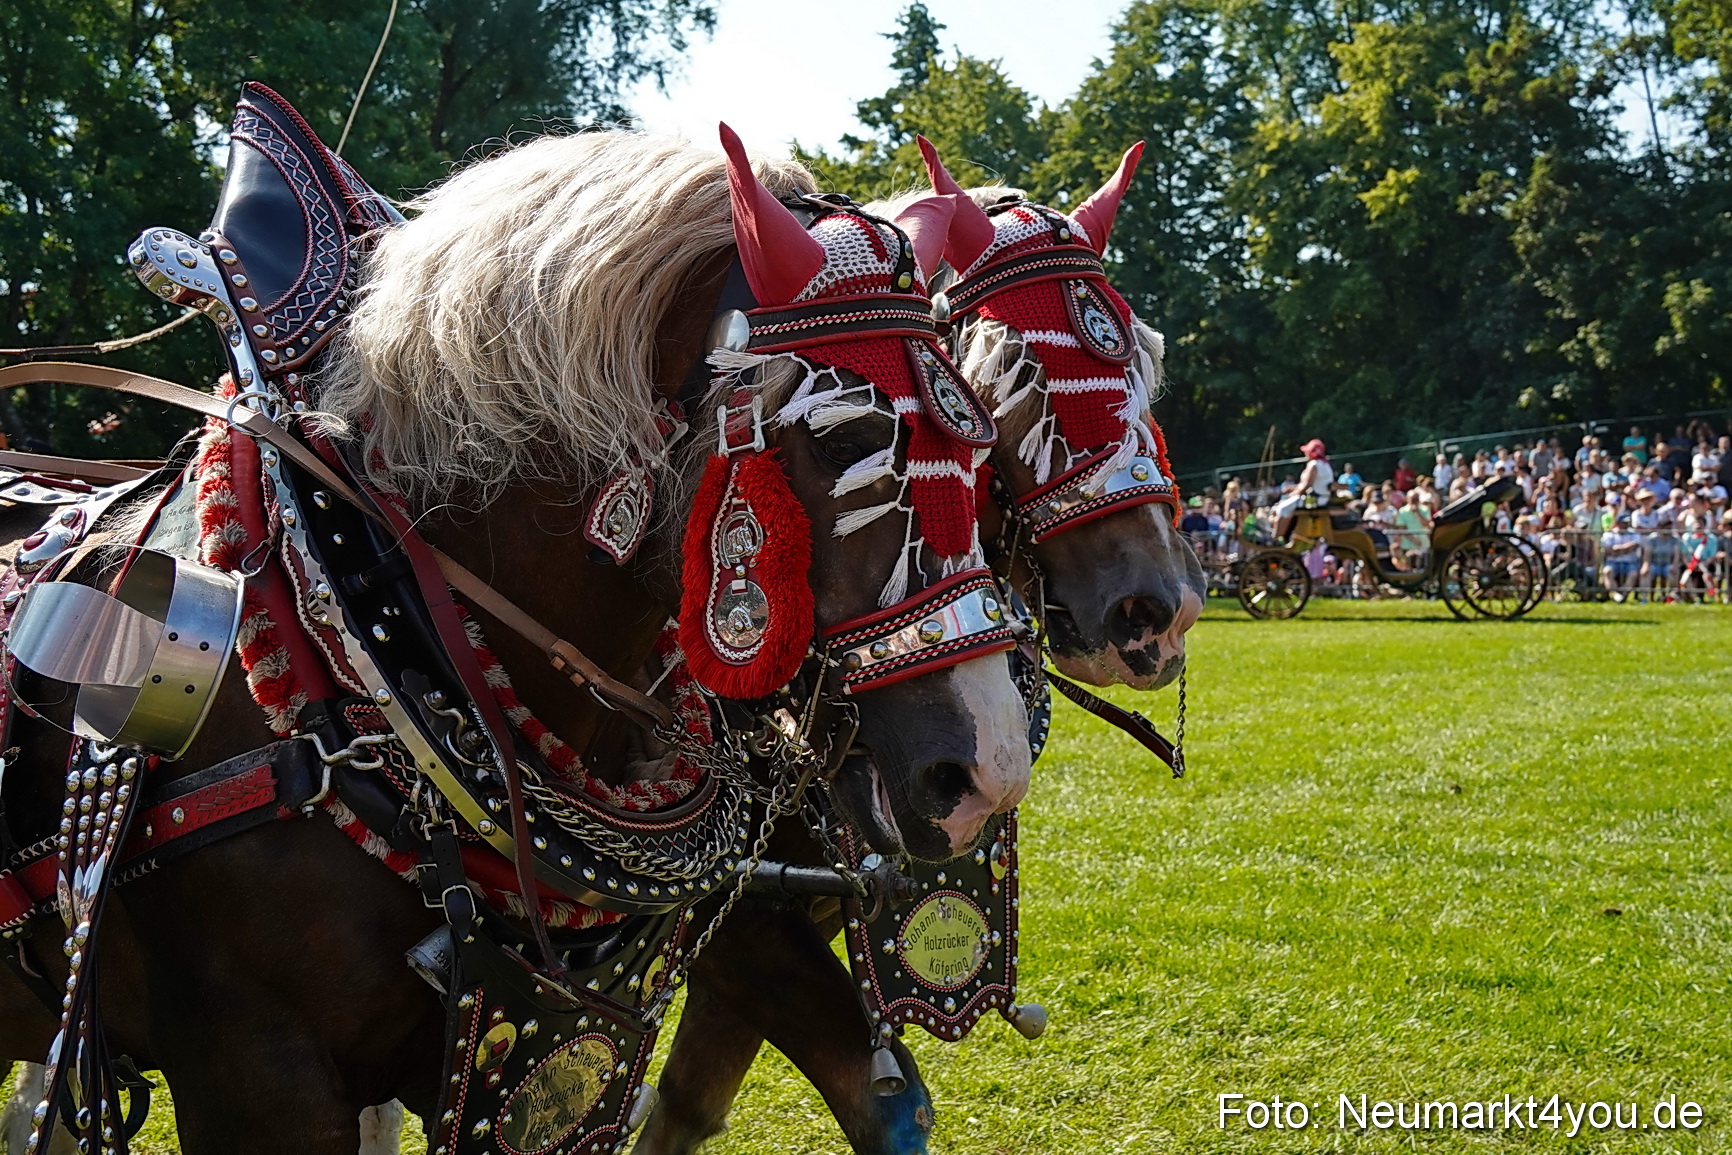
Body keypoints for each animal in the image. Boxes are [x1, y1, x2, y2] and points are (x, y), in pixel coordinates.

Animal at [633, 138, 1208, 1155]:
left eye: (1143, 363)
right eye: (1019, 375)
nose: (1159, 612)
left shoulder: (784, 920)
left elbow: (689, 1103)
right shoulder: (746, 921)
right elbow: (879, 1098)